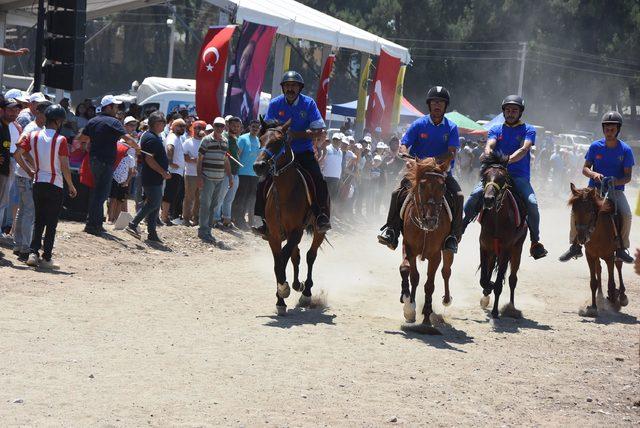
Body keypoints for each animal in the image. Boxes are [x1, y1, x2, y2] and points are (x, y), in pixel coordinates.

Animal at [254, 118, 328, 316]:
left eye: (278, 142)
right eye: (260, 140)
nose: (258, 166)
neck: (284, 192)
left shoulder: (296, 231)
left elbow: (283, 259)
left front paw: (283, 289)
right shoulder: (273, 234)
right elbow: (278, 262)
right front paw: (281, 298)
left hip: (318, 230)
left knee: (310, 255)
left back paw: (306, 292)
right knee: (297, 256)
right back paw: (296, 284)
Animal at [398, 155, 452, 330]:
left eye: (443, 187)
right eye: (422, 185)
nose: (431, 221)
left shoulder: (435, 256)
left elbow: (429, 285)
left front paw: (427, 316)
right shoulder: (408, 247)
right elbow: (407, 271)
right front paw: (408, 306)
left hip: (448, 251)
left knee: (446, 272)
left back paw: (446, 300)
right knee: (415, 277)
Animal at [478, 153, 528, 318]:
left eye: (502, 178)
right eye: (485, 176)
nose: (488, 199)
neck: (497, 219)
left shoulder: (506, 250)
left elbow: (499, 283)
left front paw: (495, 311)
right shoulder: (484, 247)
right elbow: (484, 279)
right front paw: (488, 287)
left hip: (516, 250)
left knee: (513, 279)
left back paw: (511, 307)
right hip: (494, 252)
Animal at [568, 182, 628, 316]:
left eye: (590, 211)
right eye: (574, 210)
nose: (581, 238)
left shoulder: (610, 256)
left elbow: (611, 282)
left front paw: (613, 298)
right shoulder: (590, 255)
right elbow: (593, 281)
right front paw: (594, 307)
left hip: (616, 253)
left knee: (619, 266)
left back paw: (621, 296)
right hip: (597, 256)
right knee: (599, 270)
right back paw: (600, 298)